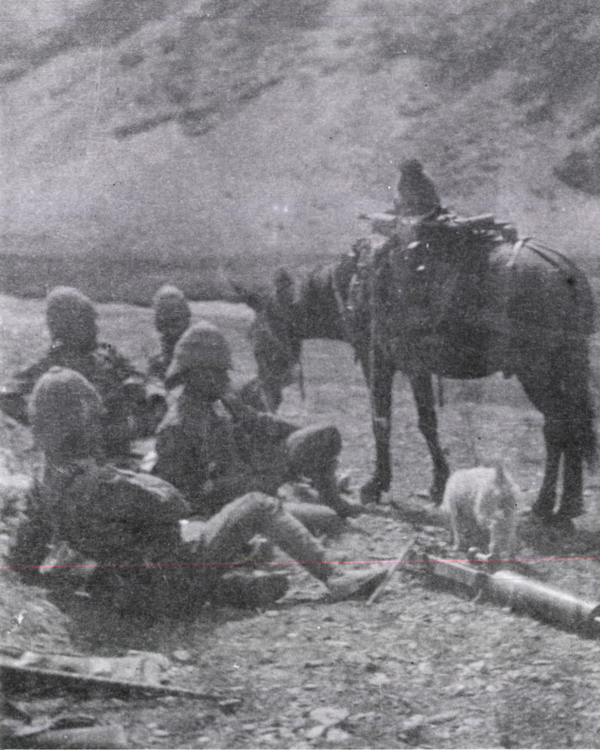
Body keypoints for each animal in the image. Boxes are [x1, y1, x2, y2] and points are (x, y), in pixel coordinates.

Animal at [234, 217, 596, 524]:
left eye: (258, 339)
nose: (266, 399)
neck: (351, 285)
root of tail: (566, 270)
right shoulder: (416, 367)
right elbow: (427, 424)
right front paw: (438, 484)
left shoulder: (377, 361)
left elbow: (381, 421)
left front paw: (376, 484)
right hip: (561, 369)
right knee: (570, 425)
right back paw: (568, 506)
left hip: (538, 372)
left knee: (557, 428)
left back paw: (545, 504)